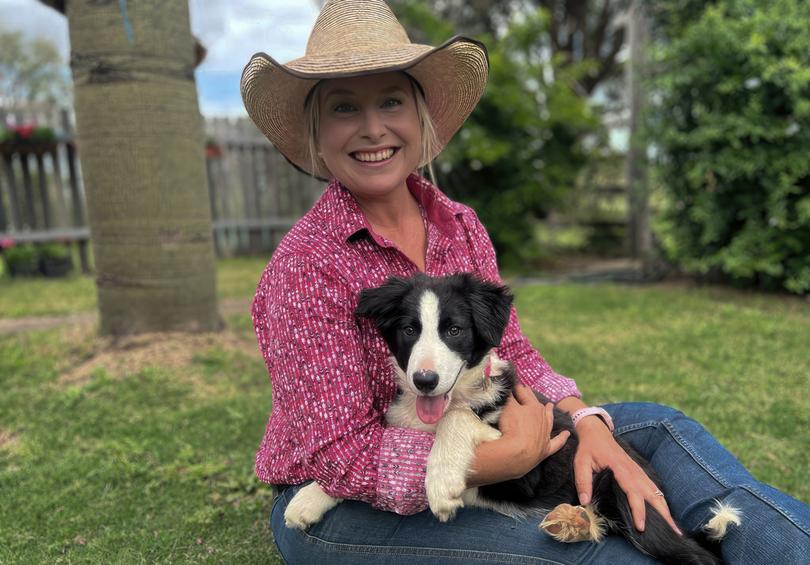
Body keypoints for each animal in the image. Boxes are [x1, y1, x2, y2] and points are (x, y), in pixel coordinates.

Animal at [284, 274, 740, 564]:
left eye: (453, 330)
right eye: (409, 330)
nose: (425, 380)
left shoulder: (524, 464)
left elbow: (458, 421)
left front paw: (441, 482)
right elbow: (378, 464)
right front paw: (309, 498)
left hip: (637, 507)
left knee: (700, 558)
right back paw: (574, 522)